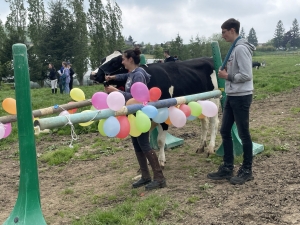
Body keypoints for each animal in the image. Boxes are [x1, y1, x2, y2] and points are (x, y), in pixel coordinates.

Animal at [91, 51, 220, 167]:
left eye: (115, 62)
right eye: (102, 60)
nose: (93, 74)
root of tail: (208, 58)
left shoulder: (163, 114)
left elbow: (160, 141)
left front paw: (161, 160)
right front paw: (150, 161)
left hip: (214, 99)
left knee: (214, 122)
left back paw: (210, 148)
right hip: (199, 102)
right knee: (204, 122)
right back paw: (201, 146)